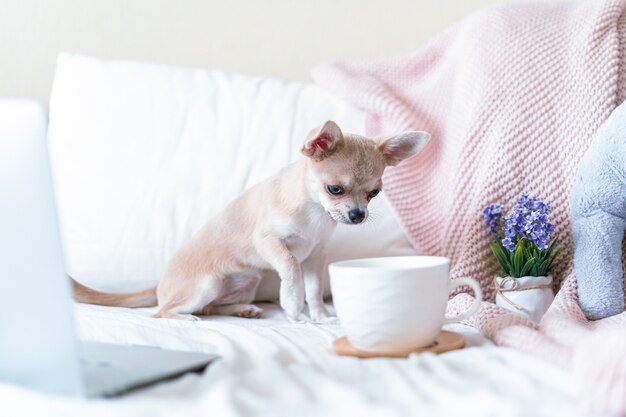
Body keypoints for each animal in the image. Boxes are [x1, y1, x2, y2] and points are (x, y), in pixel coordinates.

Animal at [70, 120, 426, 322]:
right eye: (334, 189)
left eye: (374, 193)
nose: (357, 215)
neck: (314, 213)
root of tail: (160, 284)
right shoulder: (270, 243)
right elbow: (292, 270)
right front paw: (292, 305)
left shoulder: (316, 256)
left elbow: (314, 289)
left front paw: (321, 316)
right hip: (207, 285)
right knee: (163, 312)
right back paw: (185, 318)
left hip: (247, 282)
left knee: (209, 308)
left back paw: (243, 310)